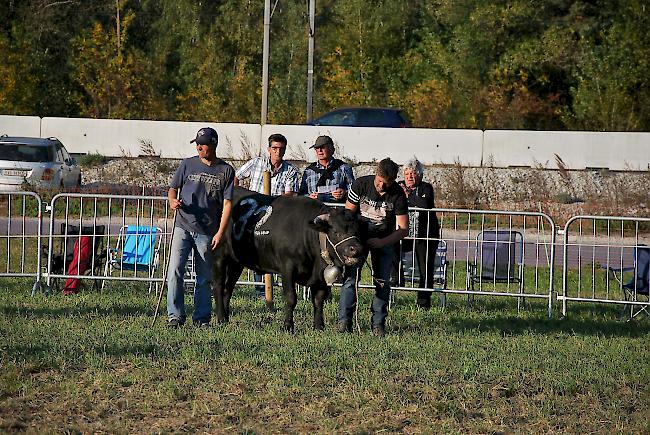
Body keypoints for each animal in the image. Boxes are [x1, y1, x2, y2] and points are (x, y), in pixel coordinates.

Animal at [213, 186, 364, 332]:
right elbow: (291, 298)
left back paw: (226, 318)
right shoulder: (287, 269)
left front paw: (319, 326)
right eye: (336, 232)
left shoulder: (320, 277)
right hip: (219, 257)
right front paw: (288, 326)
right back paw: (220, 318)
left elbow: (318, 300)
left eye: (357, 231)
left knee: (228, 288)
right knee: (218, 286)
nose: (356, 248)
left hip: (236, 263)